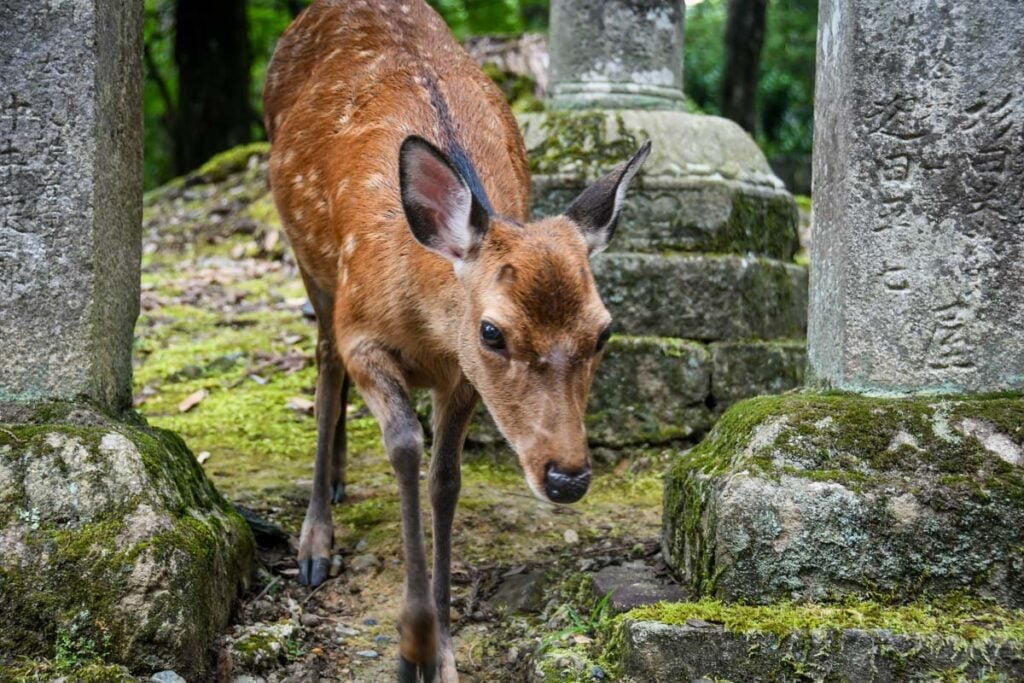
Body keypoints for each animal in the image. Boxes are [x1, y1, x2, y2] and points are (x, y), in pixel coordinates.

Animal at [264, 0, 647, 679]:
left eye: (604, 331)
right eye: (492, 331)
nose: (567, 477)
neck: (427, 328)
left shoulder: (462, 377)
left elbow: (445, 481)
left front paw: (441, 650)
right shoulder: (363, 331)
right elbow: (403, 448)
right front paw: (412, 646)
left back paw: (337, 477)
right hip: (311, 262)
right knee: (325, 365)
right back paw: (316, 537)